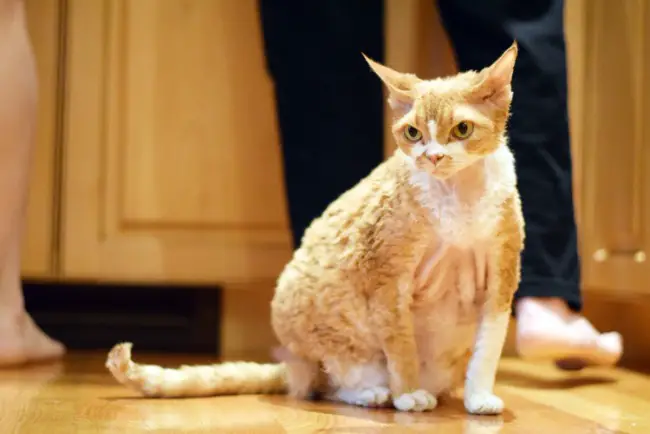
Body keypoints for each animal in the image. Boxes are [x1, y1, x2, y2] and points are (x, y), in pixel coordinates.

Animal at [105, 42, 520, 416]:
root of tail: (294, 366)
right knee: (329, 385)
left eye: (462, 129)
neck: (458, 202)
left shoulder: (503, 275)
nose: (432, 157)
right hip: (309, 314)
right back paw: (374, 393)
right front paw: (407, 395)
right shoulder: (387, 277)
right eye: (413, 133)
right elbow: (400, 345)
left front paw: (479, 397)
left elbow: (489, 347)